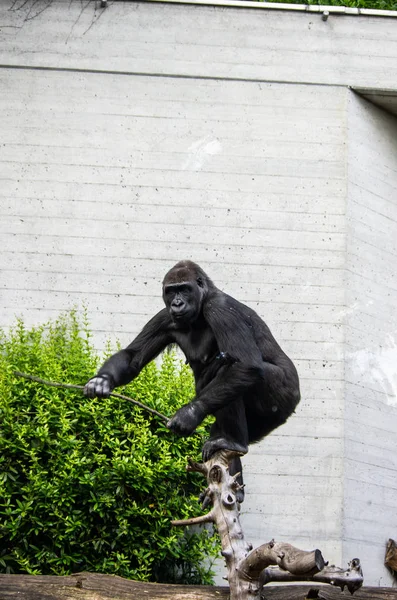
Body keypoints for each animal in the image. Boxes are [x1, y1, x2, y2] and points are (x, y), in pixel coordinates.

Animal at [84, 258, 300, 496]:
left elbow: (246, 364)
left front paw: (189, 414)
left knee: (230, 367)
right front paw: (102, 381)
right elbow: (133, 357)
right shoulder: (163, 318)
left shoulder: (220, 308)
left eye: (185, 289)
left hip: (283, 393)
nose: (177, 303)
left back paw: (234, 442)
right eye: (171, 291)